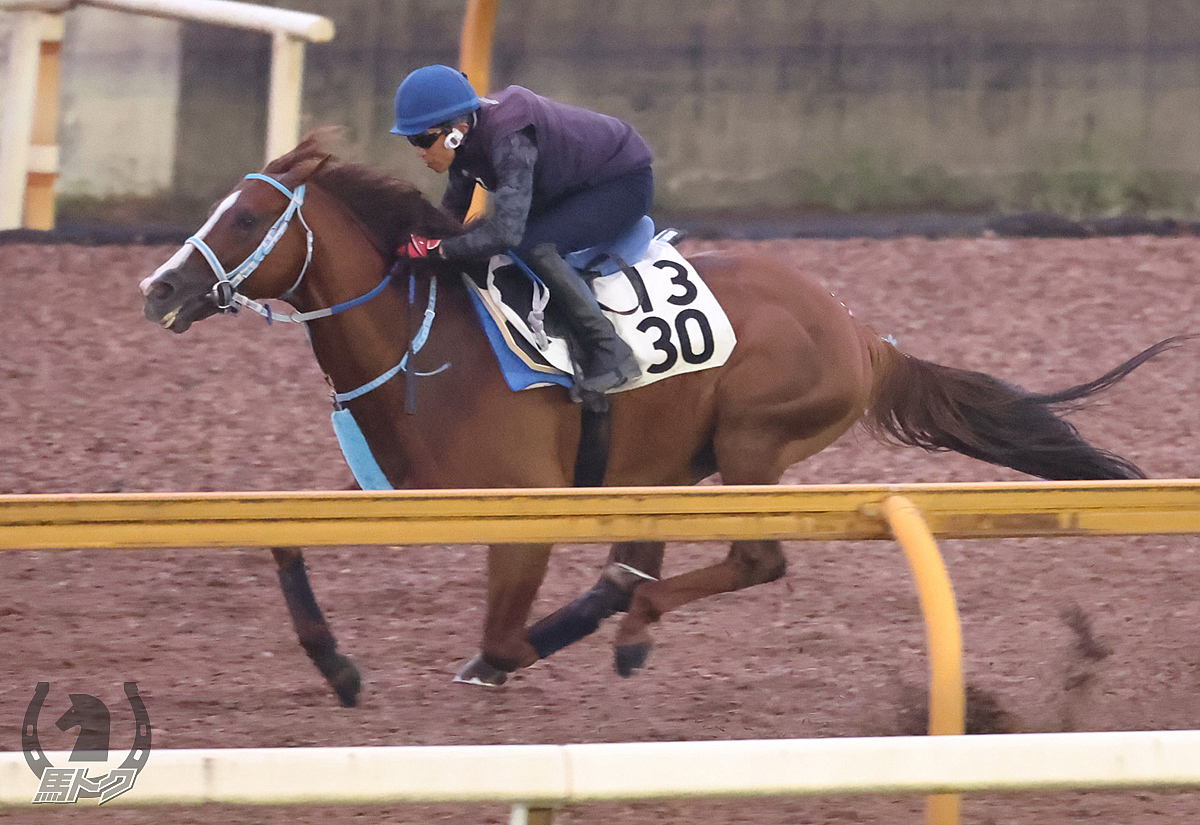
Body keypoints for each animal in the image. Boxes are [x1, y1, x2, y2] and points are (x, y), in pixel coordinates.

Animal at [142, 131, 1180, 705]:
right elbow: (284, 540)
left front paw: (506, 656)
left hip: (754, 444)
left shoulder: (524, 507)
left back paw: (632, 624)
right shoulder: (397, 492)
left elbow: (502, 631)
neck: (423, 346)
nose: (159, 289)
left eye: (245, 220)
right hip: (669, 460)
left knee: (750, 561)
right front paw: (337, 666)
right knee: (648, 556)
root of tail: (860, 329)